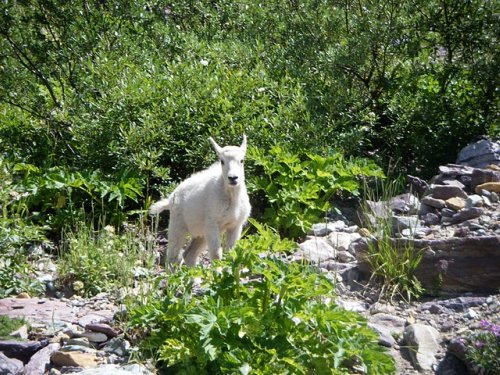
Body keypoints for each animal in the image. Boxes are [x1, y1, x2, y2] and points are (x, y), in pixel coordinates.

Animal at [147, 136, 250, 268]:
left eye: (242, 160)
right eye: (222, 161)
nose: (233, 178)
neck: (231, 197)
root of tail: (170, 199)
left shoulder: (235, 225)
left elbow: (231, 252)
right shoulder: (212, 223)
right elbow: (216, 254)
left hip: (201, 232)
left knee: (189, 254)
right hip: (178, 224)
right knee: (172, 258)